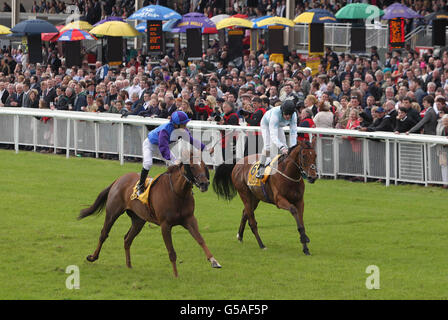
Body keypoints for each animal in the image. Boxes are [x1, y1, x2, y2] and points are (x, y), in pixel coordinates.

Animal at [80, 151, 222, 276]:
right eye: (192, 166)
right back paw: (93, 257)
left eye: (204, 166)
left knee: (127, 239)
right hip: (112, 212)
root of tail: (118, 179)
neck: (178, 193)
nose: (205, 183)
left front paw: (214, 261)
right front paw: (176, 275)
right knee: (104, 234)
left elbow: (200, 239)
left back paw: (129, 265)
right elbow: (171, 252)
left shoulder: (189, 219)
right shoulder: (165, 225)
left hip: (138, 220)